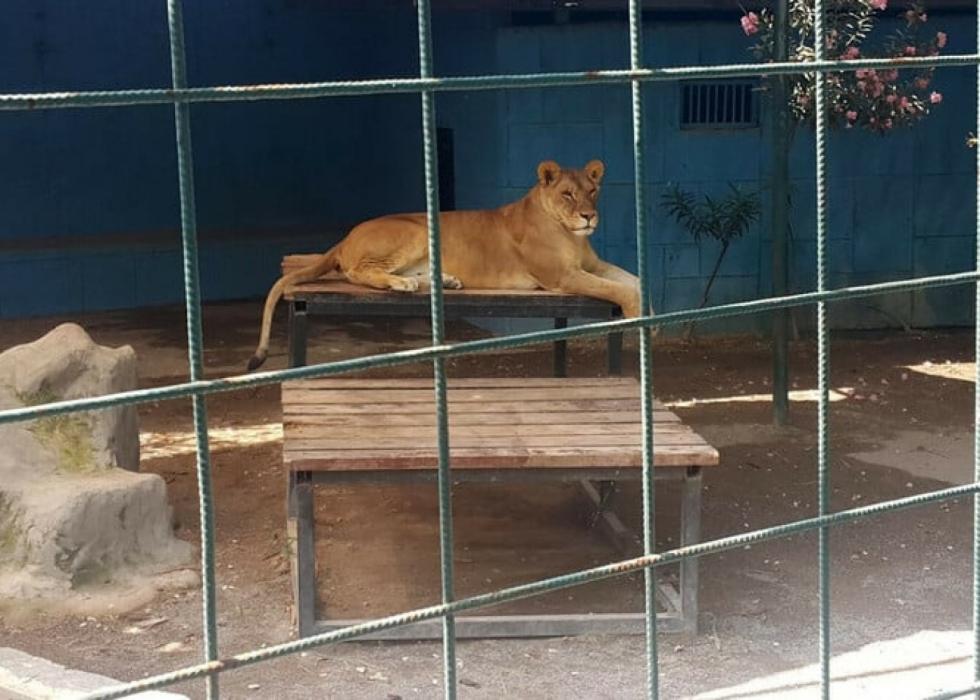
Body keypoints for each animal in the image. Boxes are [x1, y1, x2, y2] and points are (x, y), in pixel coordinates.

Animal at [247, 159, 646, 371]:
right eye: (567, 194)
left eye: (592, 191)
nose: (589, 216)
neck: (572, 234)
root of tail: (345, 237)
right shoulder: (561, 276)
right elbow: (621, 289)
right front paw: (637, 316)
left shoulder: (594, 266)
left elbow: (635, 279)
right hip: (416, 229)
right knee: (360, 273)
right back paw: (404, 285)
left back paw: (443, 282)